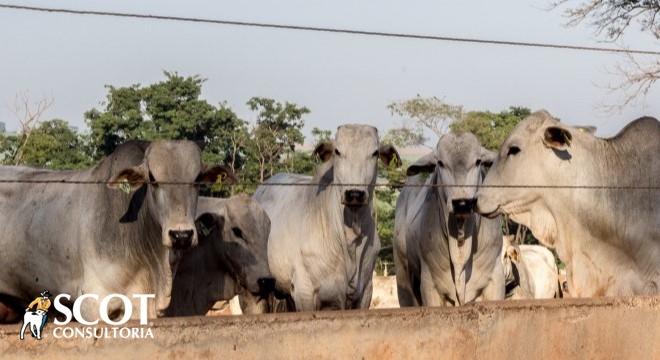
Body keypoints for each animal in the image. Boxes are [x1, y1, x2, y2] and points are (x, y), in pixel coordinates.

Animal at [394, 132, 502, 306]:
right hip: (403, 277)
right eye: (440, 163)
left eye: (478, 161)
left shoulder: (495, 279)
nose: (462, 203)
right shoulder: (430, 286)